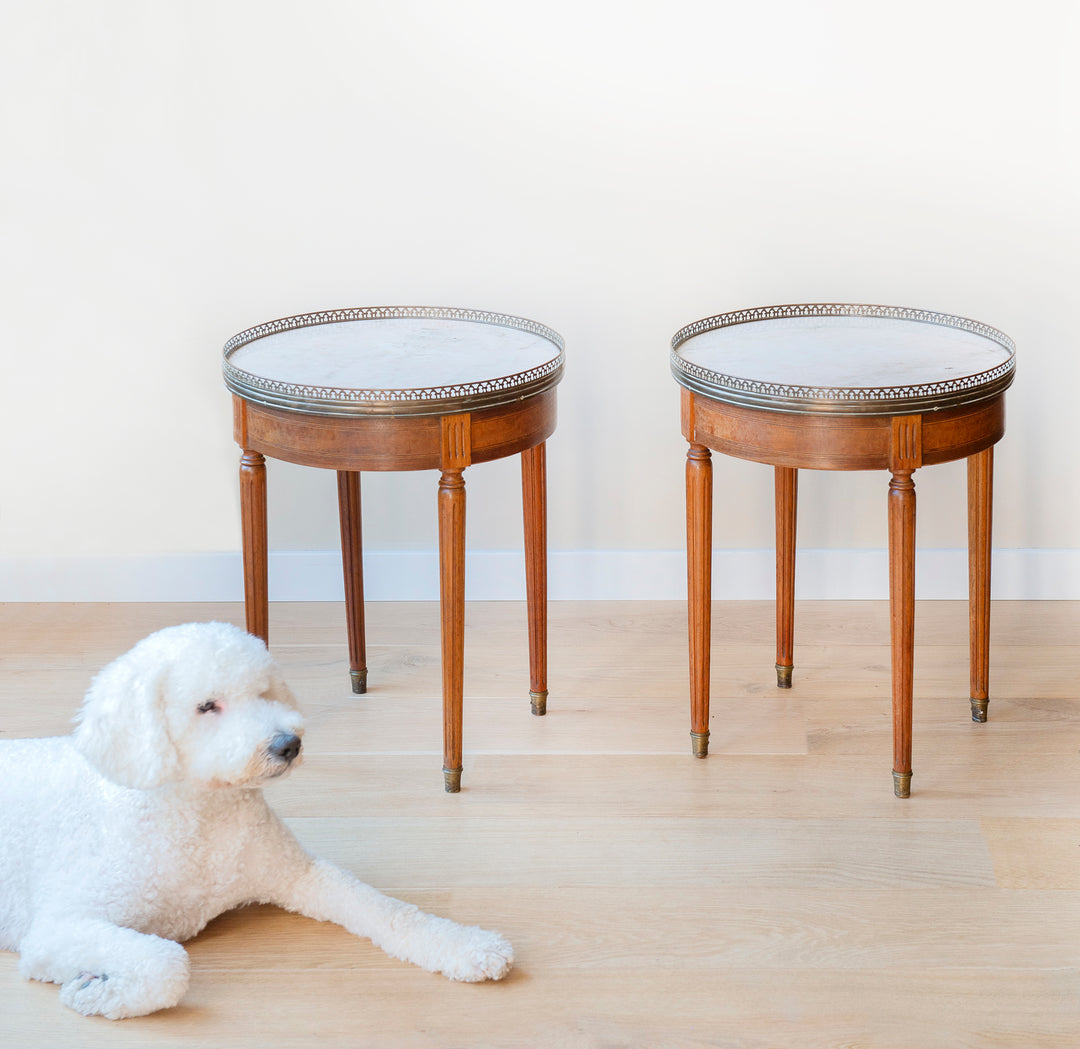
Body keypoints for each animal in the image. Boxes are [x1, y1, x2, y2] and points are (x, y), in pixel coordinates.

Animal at [0, 622, 511, 1015]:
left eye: (264, 692)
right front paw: (96, 992)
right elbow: (167, 963)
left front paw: (470, 946)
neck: (202, 819)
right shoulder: (60, 928)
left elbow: (392, 913)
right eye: (207, 706)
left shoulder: (301, 874)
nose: (288, 743)